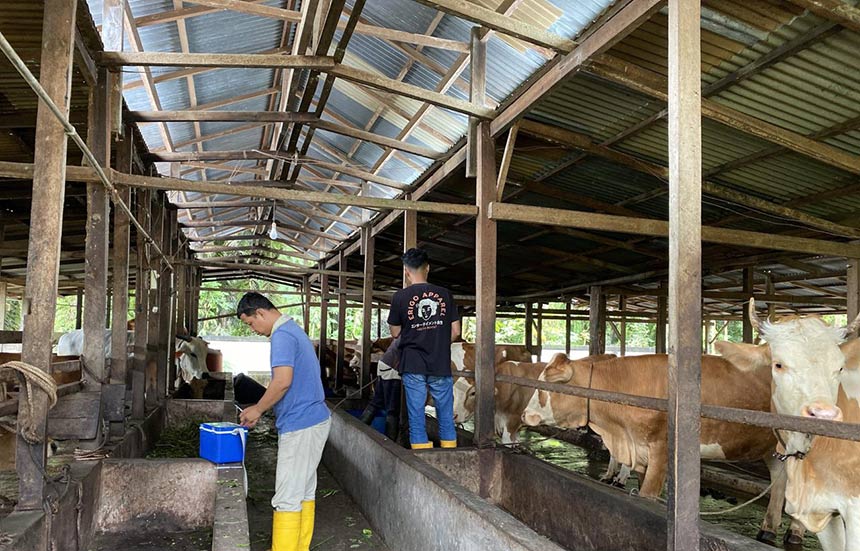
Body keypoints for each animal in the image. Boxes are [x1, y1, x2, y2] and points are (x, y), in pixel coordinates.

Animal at [521, 352, 804, 547]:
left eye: (546, 387)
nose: (525, 415)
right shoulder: (641, 451)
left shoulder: (660, 451)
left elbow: (648, 494)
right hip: (773, 447)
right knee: (780, 480)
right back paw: (768, 529)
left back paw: (794, 532)